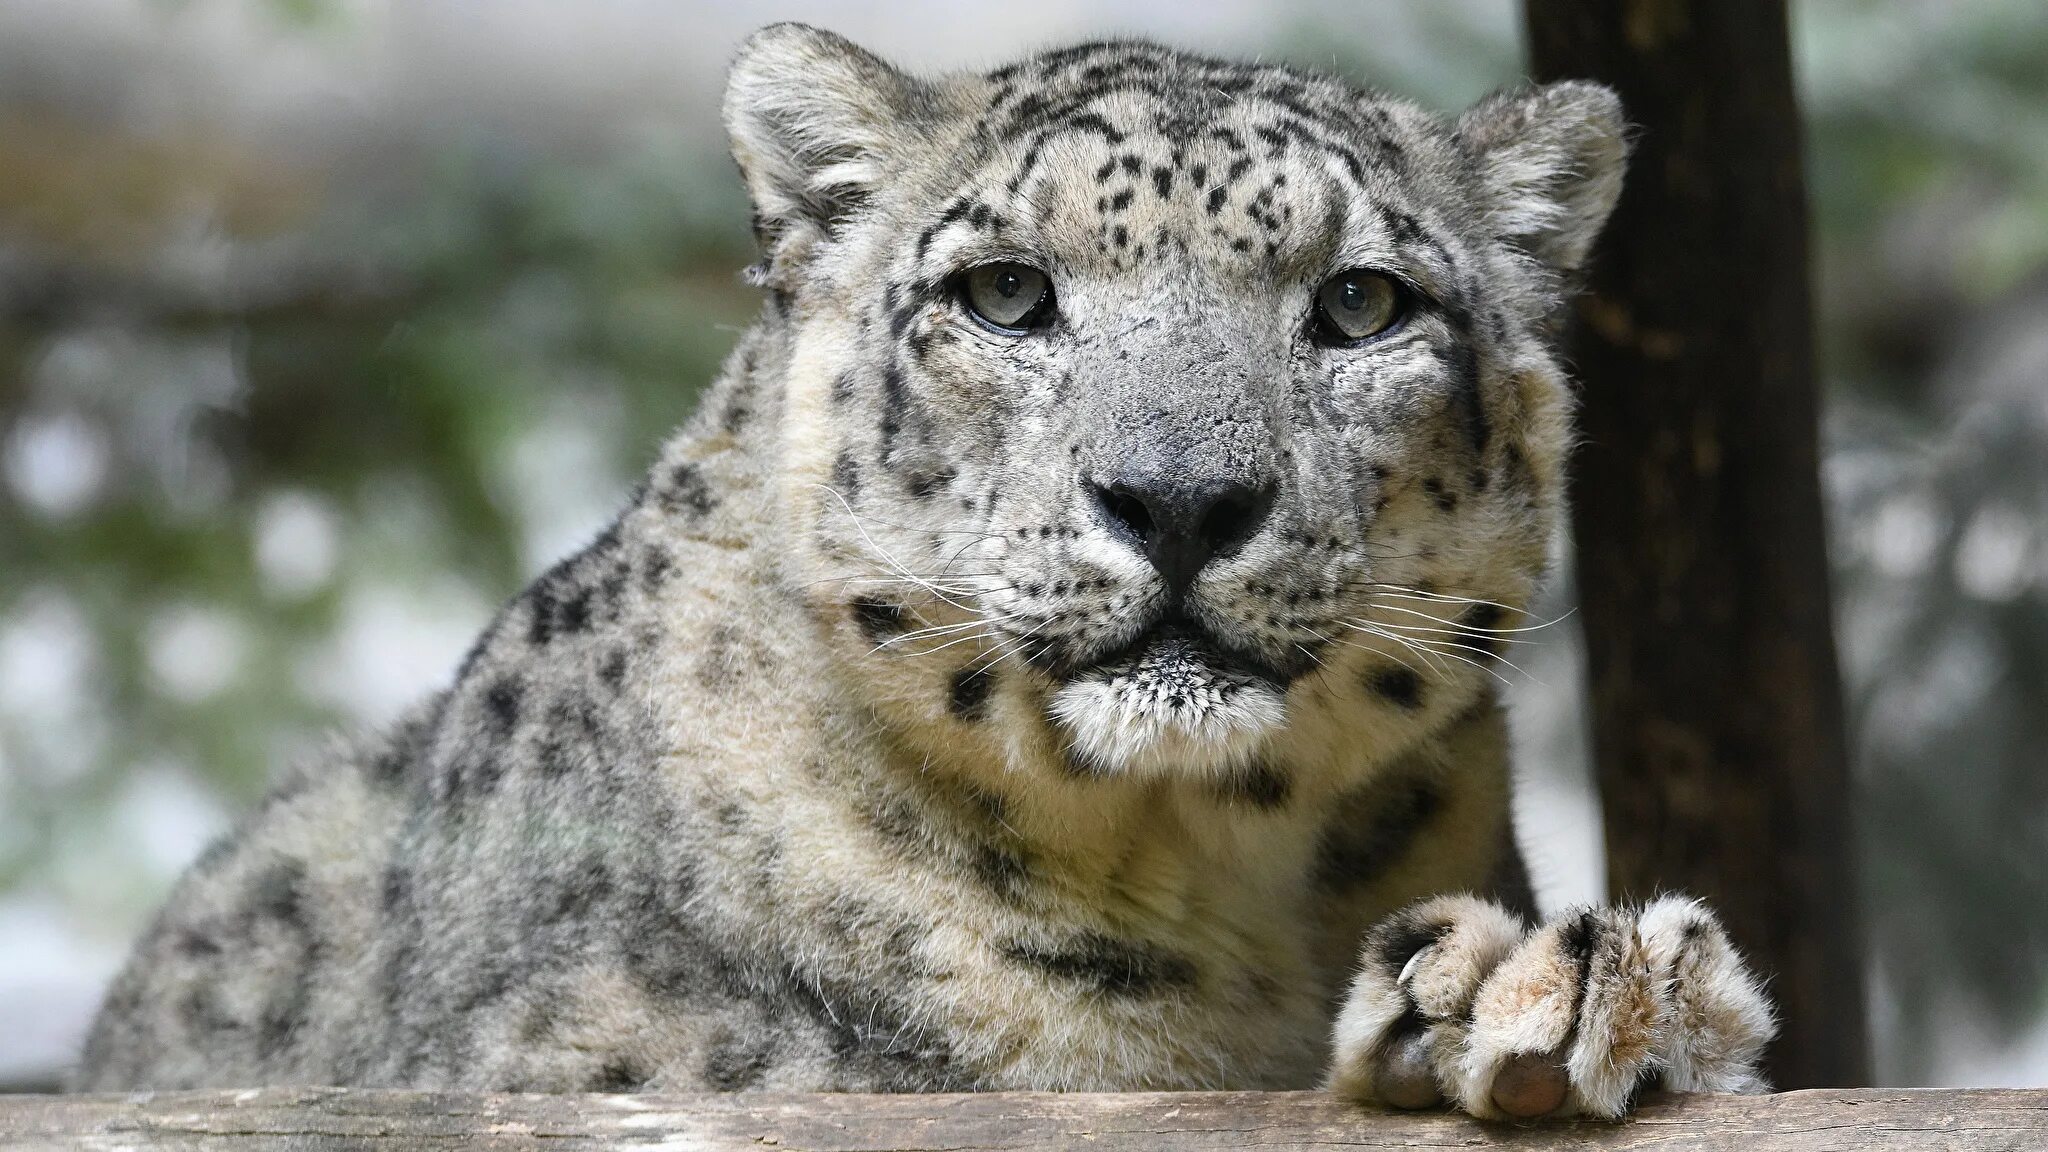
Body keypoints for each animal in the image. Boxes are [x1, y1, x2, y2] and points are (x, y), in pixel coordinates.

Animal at [75, 24, 1776, 1120]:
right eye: (1005, 292)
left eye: (1362, 303)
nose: (1179, 500)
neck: (1216, 893)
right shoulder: (577, 1057)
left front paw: (1561, 987)